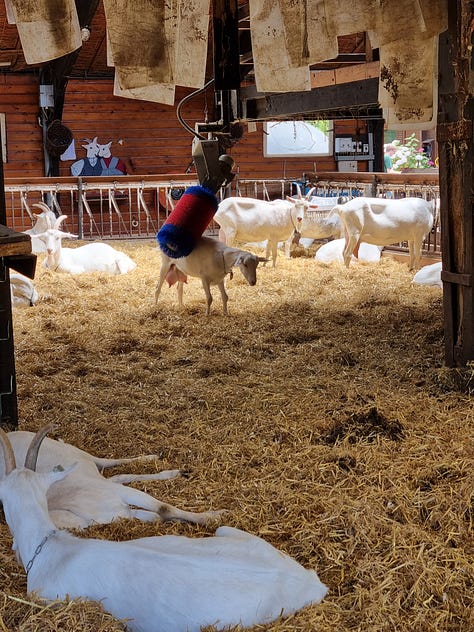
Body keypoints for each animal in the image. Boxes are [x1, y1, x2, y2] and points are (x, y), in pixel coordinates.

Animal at [0, 430, 223, 528]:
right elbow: (158, 516)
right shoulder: (123, 513)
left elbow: (164, 508)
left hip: (80, 455)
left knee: (109, 463)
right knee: (117, 476)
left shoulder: (124, 495)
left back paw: (157, 460)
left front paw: (215, 516)